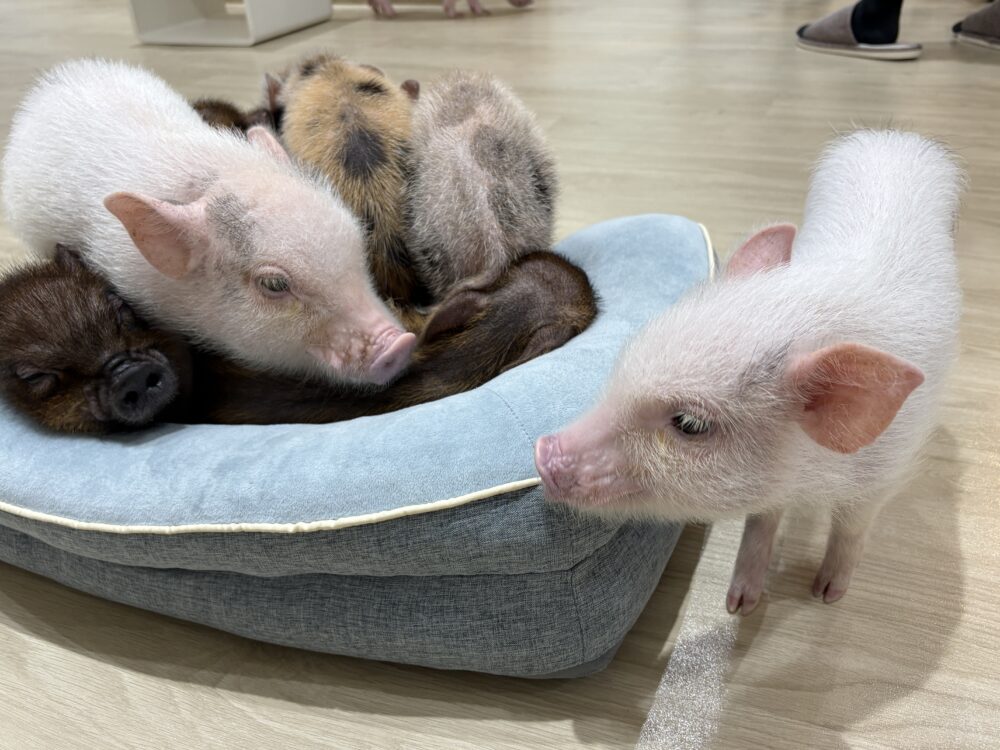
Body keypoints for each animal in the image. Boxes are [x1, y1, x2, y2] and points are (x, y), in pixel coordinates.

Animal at [533, 130, 963, 614]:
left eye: (690, 424)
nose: (542, 452)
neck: (814, 474)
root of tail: (893, 138)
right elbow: (760, 522)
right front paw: (739, 605)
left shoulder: (883, 473)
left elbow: (852, 529)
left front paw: (826, 595)